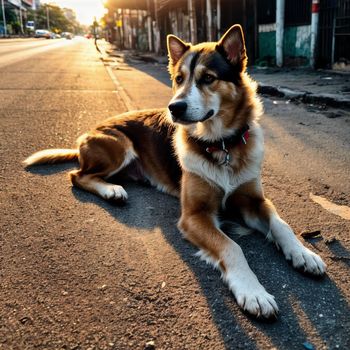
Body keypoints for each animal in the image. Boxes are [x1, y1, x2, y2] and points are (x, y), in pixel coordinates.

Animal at [24, 24, 326, 318]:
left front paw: (303, 253)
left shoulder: (254, 201)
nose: (174, 107)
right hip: (120, 144)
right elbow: (232, 246)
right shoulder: (194, 216)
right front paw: (253, 291)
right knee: (78, 175)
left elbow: (281, 224)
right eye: (179, 79)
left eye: (208, 78)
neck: (221, 144)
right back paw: (111, 191)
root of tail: (84, 137)